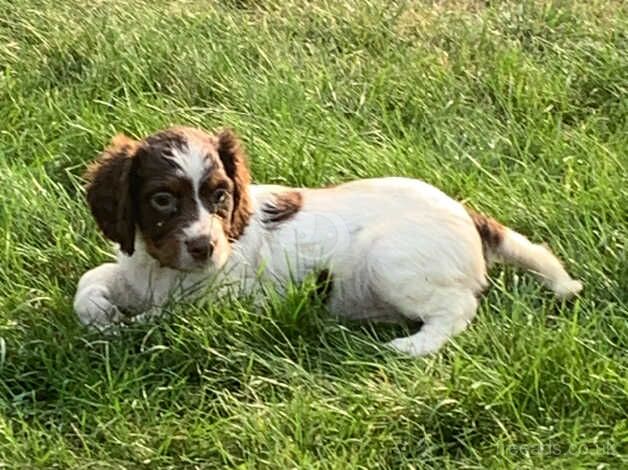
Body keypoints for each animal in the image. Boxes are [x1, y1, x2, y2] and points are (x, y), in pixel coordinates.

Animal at [75, 126, 584, 354]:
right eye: (162, 200)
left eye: (220, 195)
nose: (204, 248)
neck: (161, 268)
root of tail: (467, 214)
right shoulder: (133, 267)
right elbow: (91, 281)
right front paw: (100, 313)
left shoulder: (226, 299)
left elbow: (162, 318)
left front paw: (122, 327)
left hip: (389, 258)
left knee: (458, 307)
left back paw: (412, 346)